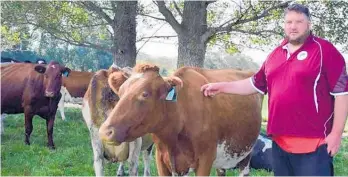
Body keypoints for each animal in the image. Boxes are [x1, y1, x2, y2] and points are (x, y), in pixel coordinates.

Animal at [98, 64, 260, 176]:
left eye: (145, 94)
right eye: (120, 92)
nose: (105, 132)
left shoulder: (205, 159)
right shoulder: (162, 159)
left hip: (246, 154)